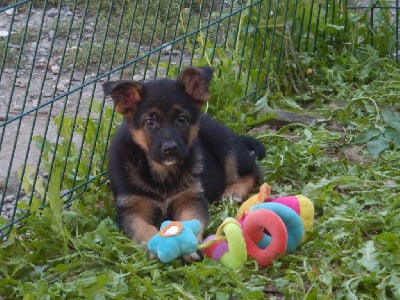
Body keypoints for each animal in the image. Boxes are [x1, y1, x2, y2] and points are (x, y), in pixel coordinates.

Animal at [103, 66, 266, 258]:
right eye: (149, 122)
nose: (170, 149)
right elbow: (142, 228)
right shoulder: (131, 208)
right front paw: (153, 245)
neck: (161, 171)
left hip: (225, 145)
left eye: (181, 119)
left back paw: (234, 191)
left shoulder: (191, 198)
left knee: (253, 171)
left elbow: (191, 219)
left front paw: (190, 244)